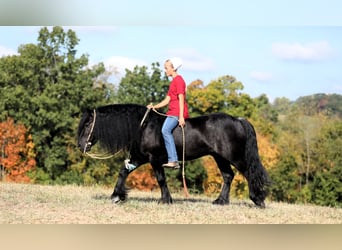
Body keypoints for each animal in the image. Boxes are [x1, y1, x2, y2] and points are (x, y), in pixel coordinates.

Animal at [77, 103, 270, 207]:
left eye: (87, 124)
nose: (80, 146)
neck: (143, 127)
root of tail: (238, 120)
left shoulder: (154, 160)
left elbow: (161, 179)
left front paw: (165, 200)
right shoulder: (139, 158)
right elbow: (123, 172)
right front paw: (117, 196)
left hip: (234, 157)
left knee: (249, 174)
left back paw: (258, 200)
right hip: (219, 157)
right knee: (228, 176)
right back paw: (220, 201)